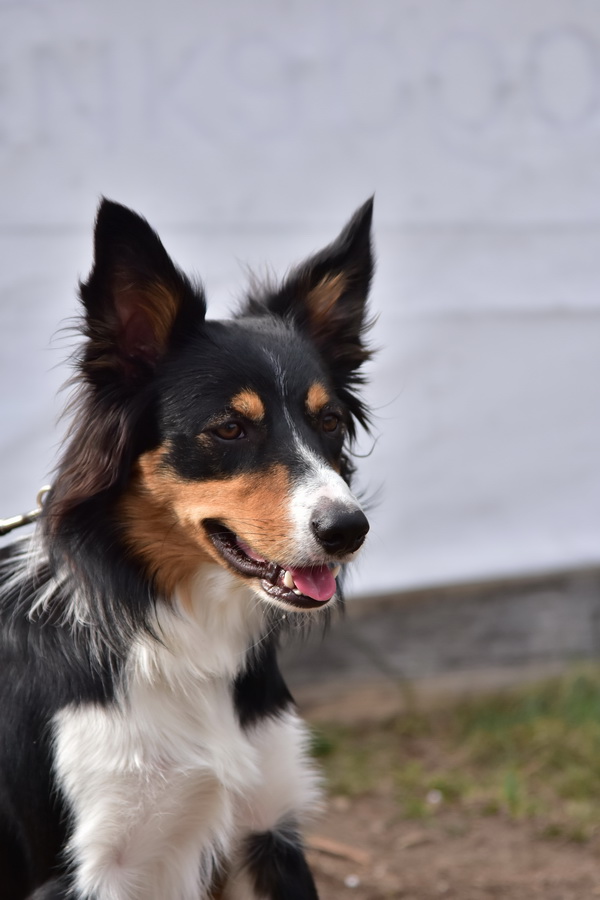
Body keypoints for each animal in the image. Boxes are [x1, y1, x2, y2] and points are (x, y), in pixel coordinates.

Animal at [0, 196, 374, 899]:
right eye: (229, 429)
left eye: (330, 421)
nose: (348, 531)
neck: (186, 639)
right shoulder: (86, 871)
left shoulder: (266, 825)